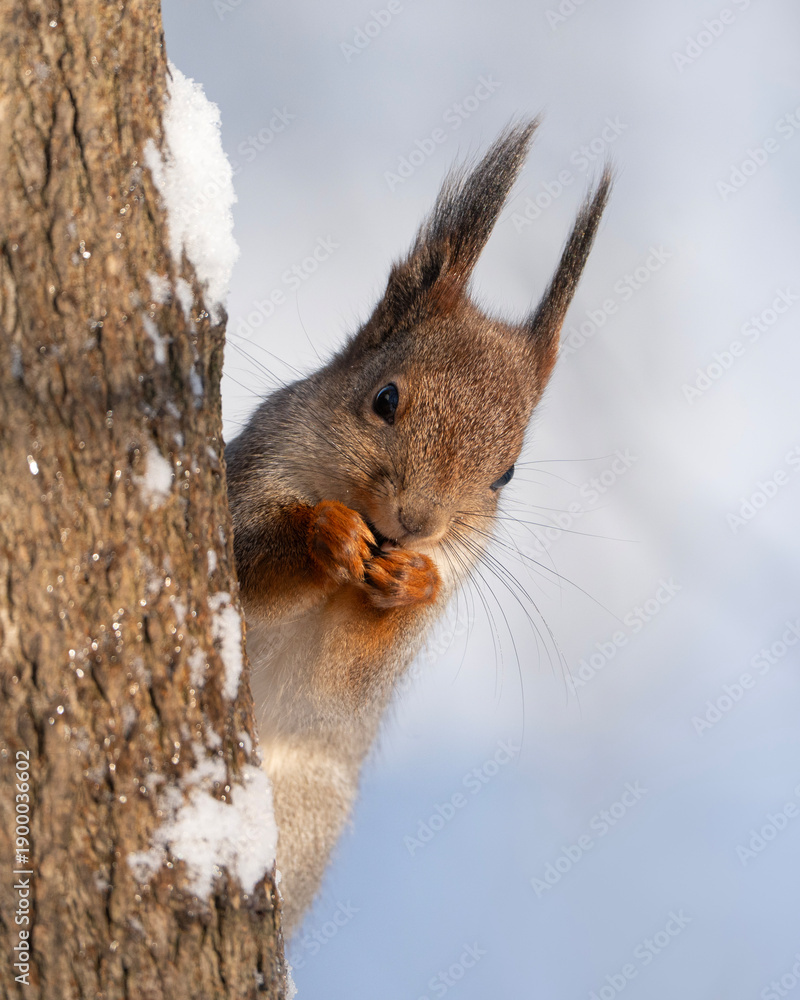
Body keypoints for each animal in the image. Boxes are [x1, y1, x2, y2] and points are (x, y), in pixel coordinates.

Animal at [225, 120, 611, 936]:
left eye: (504, 477)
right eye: (384, 398)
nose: (416, 524)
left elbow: (342, 679)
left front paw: (411, 580)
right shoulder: (250, 479)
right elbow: (249, 564)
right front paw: (326, 534)